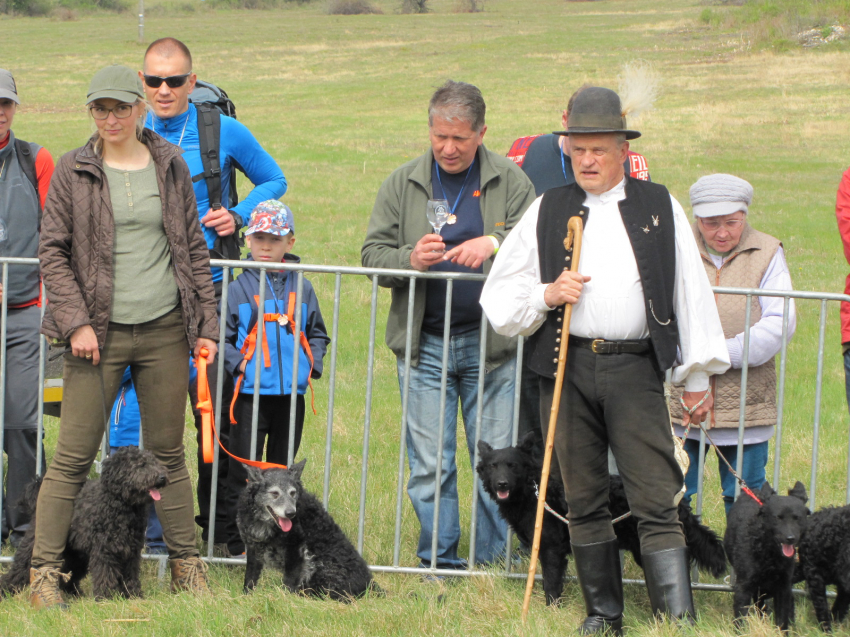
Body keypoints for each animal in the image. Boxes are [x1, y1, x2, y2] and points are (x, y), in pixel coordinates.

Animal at [0, 444, 169, 600]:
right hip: (34, 547)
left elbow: (130, 575)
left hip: (77, 555)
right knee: (19, 570)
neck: (120, 505)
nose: (162, 477)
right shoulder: (104, 550)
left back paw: (74, 593)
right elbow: (105, 573)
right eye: (141, 465)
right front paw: (105, 597)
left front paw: (133, 594)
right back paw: (6, 590)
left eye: (154, 462)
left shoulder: (131, 551)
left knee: (68, 574)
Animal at [237, 458, 372, 600]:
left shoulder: (296, 551)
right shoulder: (253, 549)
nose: (290, 513)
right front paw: (246, 596)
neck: (264, 523)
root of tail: (370, 586)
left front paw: (285, 599)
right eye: (274, 493)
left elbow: (289, 582)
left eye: (292, 493)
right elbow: (250, 578)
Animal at [474, 434, 724, 604]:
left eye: (512, 466)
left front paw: (550, 608)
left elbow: (551, 582)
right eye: (493, 466)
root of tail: (677, 501)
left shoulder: (550, 548)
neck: (534, 492)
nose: (501, 484)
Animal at [724, 480, 808, 628]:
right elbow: (741, 618)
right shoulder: (744, 586)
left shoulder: (783, 587)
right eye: (778, 518)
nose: (790, 538)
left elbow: (782, 620)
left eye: (797, 518)